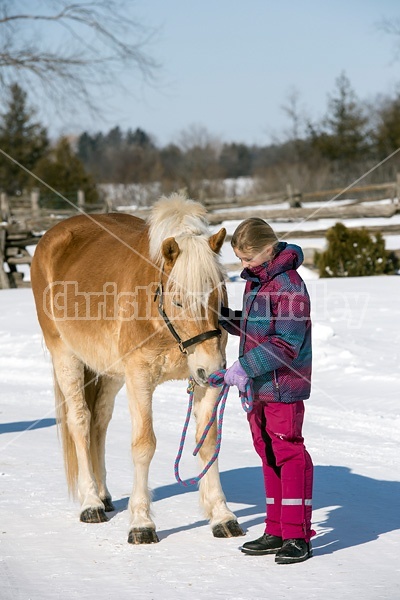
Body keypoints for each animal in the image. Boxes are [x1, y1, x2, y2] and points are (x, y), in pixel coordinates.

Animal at [30, 191, 244, 544]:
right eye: (179, 300)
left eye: (220, 295)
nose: (211, 368)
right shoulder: (140, 378)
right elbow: (144, 445)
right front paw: (141, 523)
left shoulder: (204, 381)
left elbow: (208, 442)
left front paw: (221, 515)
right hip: (66, 356)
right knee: (80, 422)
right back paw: (91, 503)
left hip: (109, 373)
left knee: (99, 422)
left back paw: (103, 495)